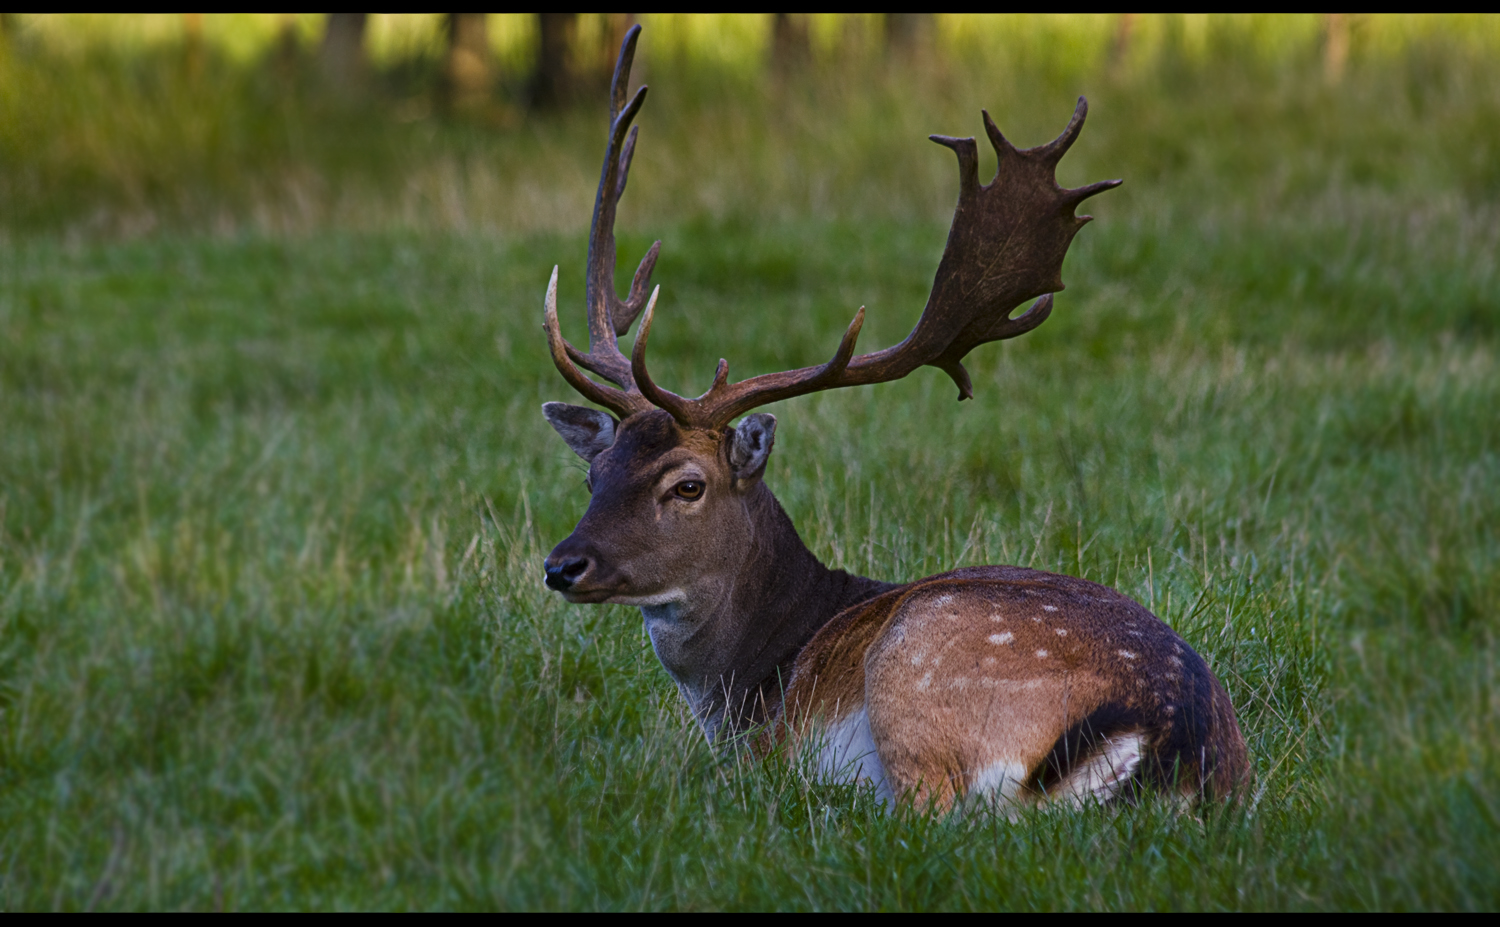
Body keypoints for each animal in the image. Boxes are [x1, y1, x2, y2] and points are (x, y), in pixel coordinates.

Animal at [534, 27, 1248, 810]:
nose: (563, 564)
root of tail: (1171, 742)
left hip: (917, 663)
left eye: (687, 484)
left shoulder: (759, 747)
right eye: (594, 473)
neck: (748, 681)